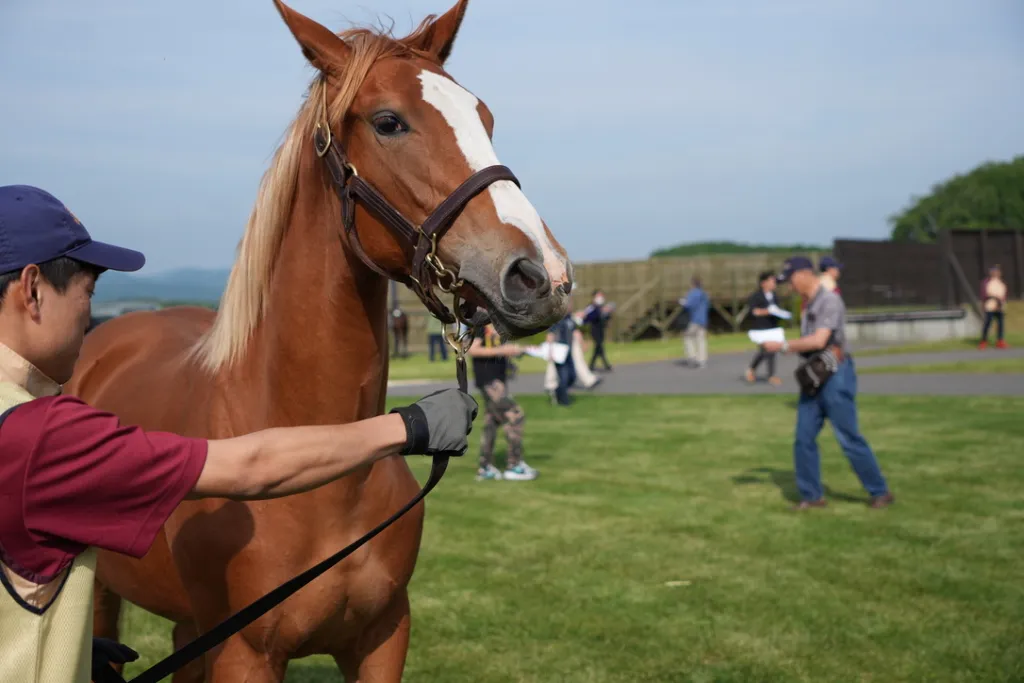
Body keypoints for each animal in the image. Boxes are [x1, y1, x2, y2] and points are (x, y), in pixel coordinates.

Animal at [65, 1, 573, 681]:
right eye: (388, 122)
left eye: (484, 117)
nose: (542, 275)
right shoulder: (245, 655)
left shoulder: (382, 638)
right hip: (101, 602)